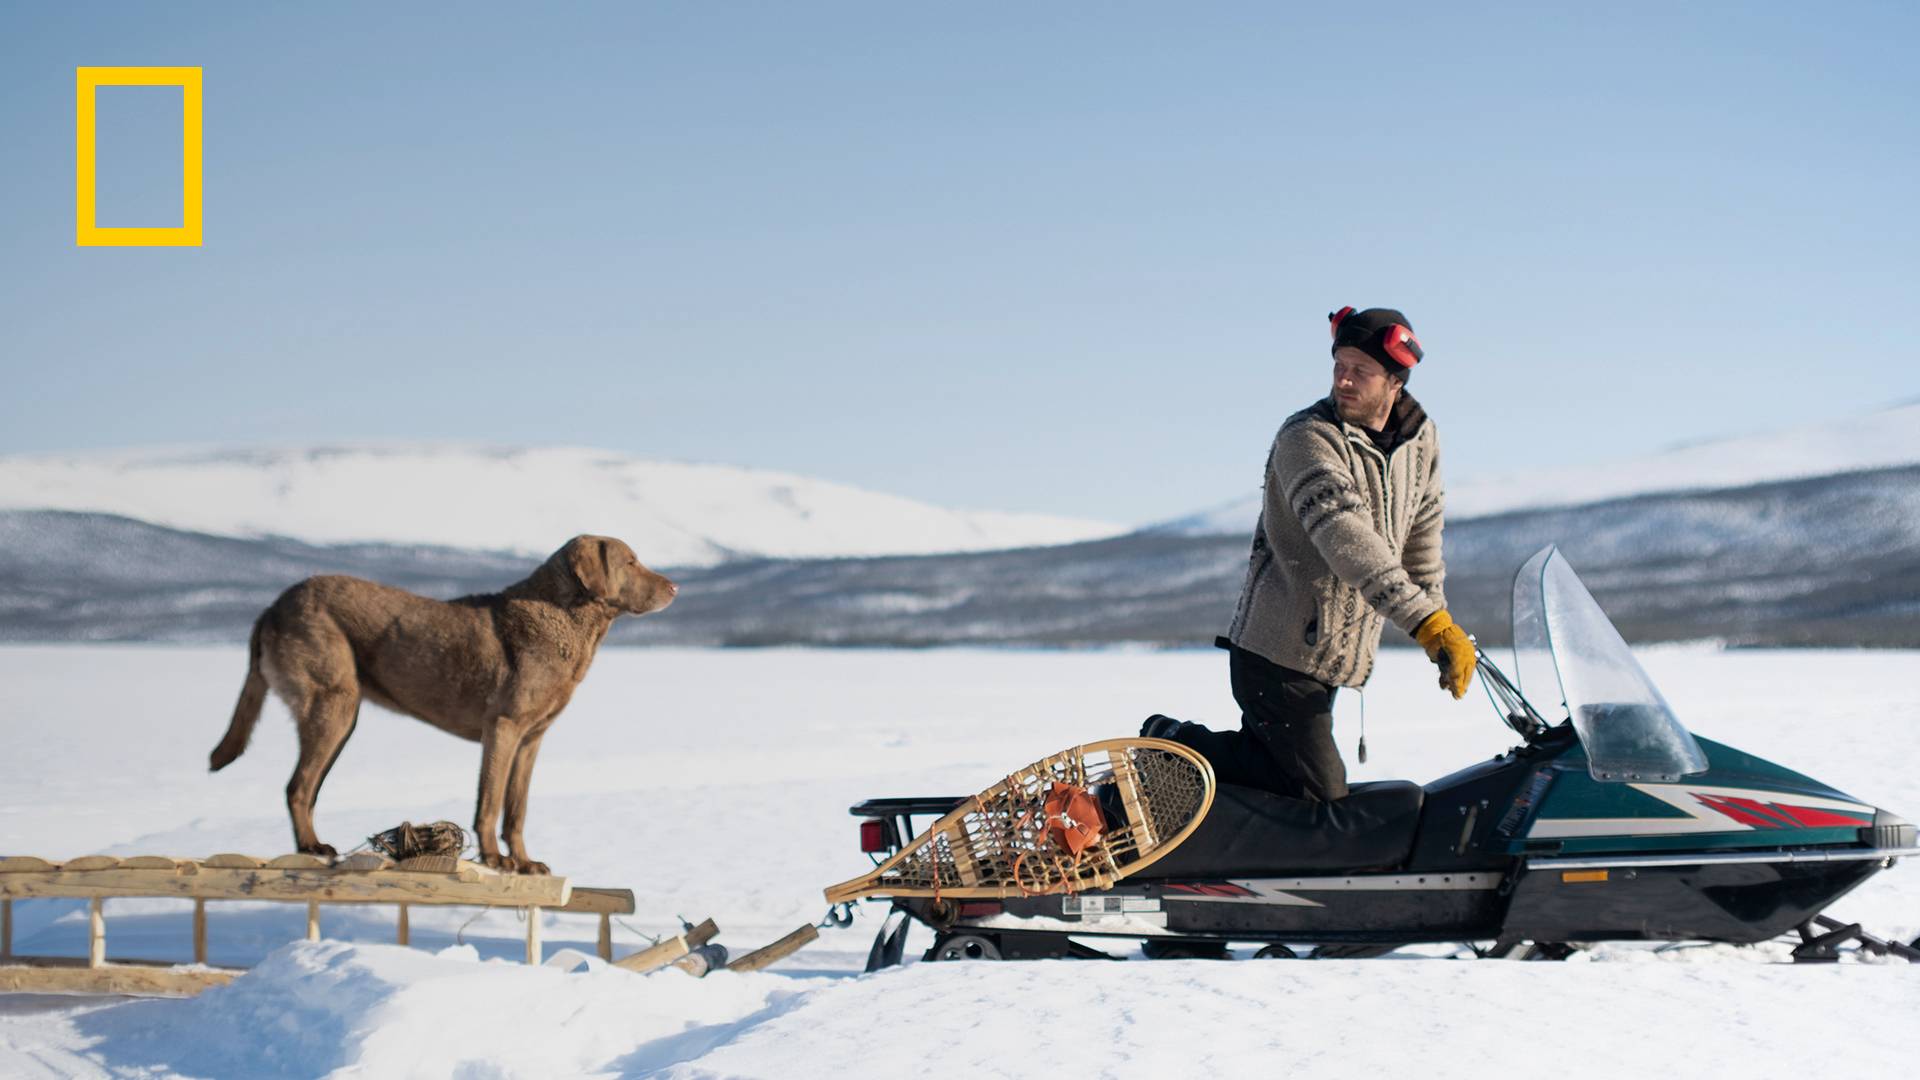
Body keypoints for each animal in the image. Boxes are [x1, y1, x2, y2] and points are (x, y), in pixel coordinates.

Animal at [208, 534, 675, 868]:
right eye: (630, 562)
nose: (674, 586)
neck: (565, 619)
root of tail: (272, 606)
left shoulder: (531, 739)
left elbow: (517, 810)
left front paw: (525, 863)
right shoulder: (503, 727)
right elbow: (489, 802)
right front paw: (496, 861)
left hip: (339, 715)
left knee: (304, 786)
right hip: (334, 704)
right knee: (298, 787)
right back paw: (313, 847)